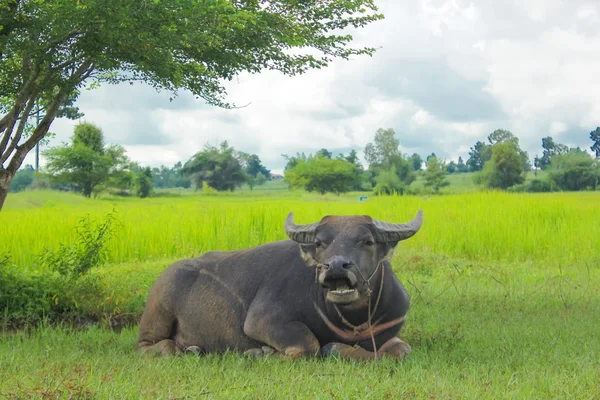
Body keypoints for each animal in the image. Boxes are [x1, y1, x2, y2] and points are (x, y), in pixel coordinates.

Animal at [136, 211, 422, 360]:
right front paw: (261, 351)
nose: (336, 267)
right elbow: (309, 345)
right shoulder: (262, 321)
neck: (352, 318)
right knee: (146, 346)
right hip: (157, 314)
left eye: (367, 241)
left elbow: (401, 349)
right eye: (320, 242)